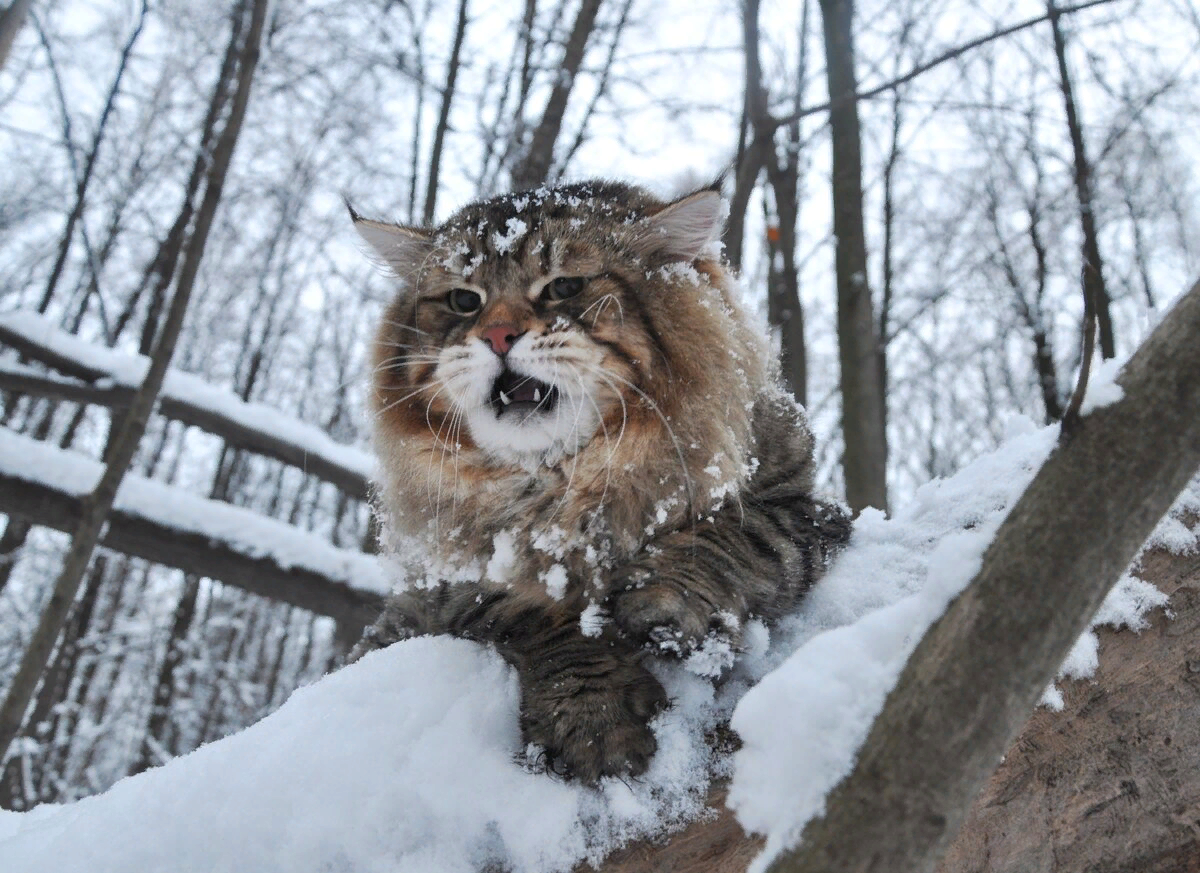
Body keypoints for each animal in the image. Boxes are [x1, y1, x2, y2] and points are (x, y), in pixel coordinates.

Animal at [350, 181, 854, 781]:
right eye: (463, 301)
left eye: (563, 287)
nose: (497, 335)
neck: (558, 484)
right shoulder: (455, 581)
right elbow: (544, 619)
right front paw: (594, 718)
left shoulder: (807, 509)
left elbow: (732, 540)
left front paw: (661, 599)